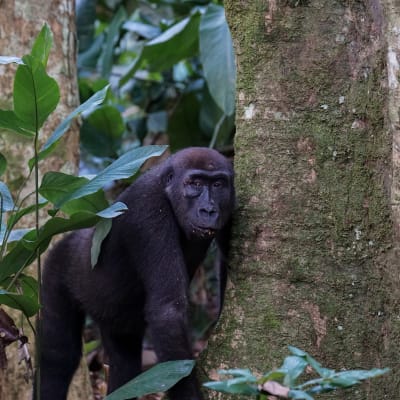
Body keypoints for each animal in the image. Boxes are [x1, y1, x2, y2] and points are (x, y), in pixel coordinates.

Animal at [37, 148, 234, 400]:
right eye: (195, 183)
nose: (208, 210)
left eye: (218, 184)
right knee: (59, 357)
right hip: (57, 264)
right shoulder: (148, 210)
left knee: (124, 365)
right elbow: (167, 311)